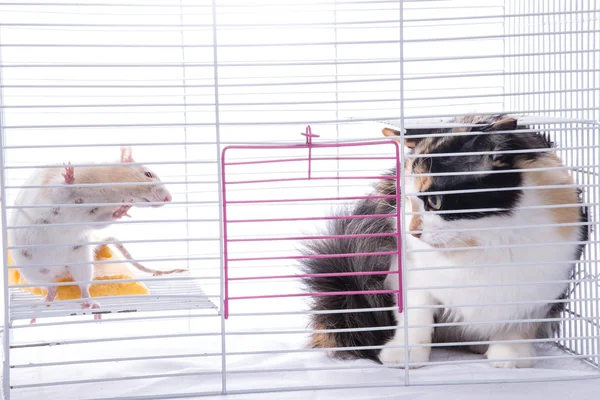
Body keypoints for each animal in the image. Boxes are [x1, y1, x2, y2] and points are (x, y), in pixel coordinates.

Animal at [300, 114, 584, 368]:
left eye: (434, 201)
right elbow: (416, 316)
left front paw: (510, 355)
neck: (480, 241)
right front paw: (404, 355)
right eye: (407, 200)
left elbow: (519, 323)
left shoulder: (545, 284)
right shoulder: (410, 274)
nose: (413, 231)